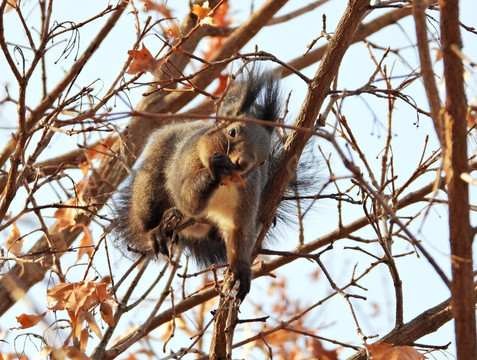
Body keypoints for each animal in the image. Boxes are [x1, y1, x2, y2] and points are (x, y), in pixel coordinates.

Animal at [114, 69, 286, 298]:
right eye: (232, 132)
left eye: (263, 161)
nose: (241, 164)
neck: (224, 185)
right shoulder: (186, 164)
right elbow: (188, 200)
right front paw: (215, 168)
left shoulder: (246, 198)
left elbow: (239, 231)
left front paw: (240, 268)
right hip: (148, 187)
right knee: (149, 214)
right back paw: (157, 228)